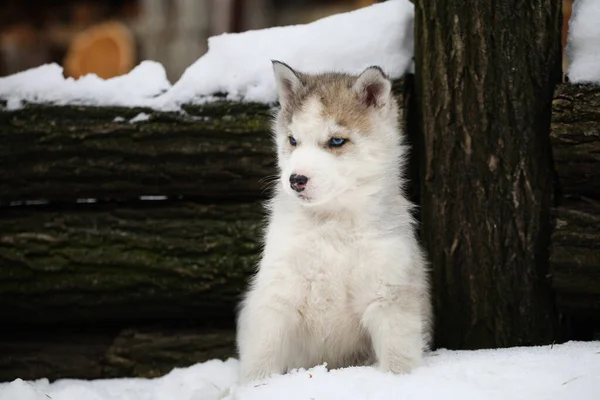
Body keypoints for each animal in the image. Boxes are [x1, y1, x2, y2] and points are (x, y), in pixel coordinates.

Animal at [236, 61, 432, 382]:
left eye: (337, 141)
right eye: (293, 140)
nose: (296, 180)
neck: (332, 225)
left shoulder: (387, 294)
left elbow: (398, 356)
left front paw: (397, 381)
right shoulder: (278, 293)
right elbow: (261, 358)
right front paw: (255, 386)